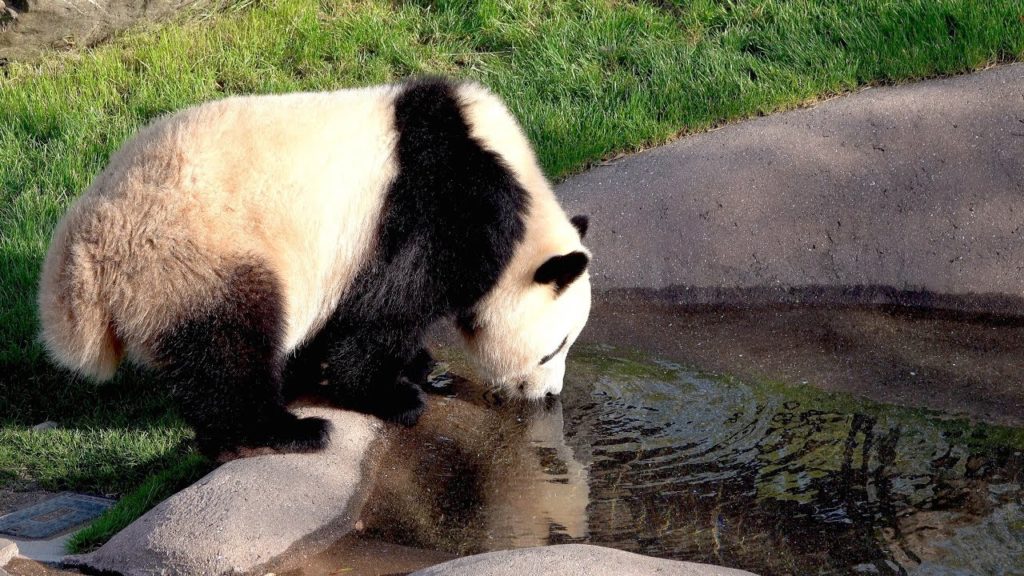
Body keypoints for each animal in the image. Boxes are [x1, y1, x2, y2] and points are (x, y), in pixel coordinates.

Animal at [37, 77, 592, 458]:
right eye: (553, 349)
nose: (549, 396)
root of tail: (80, 262)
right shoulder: (439, 212)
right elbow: (383, 312)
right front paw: (394, 395)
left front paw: (421, 368)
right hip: (193, 255)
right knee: (228, 348)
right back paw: (287, 430)